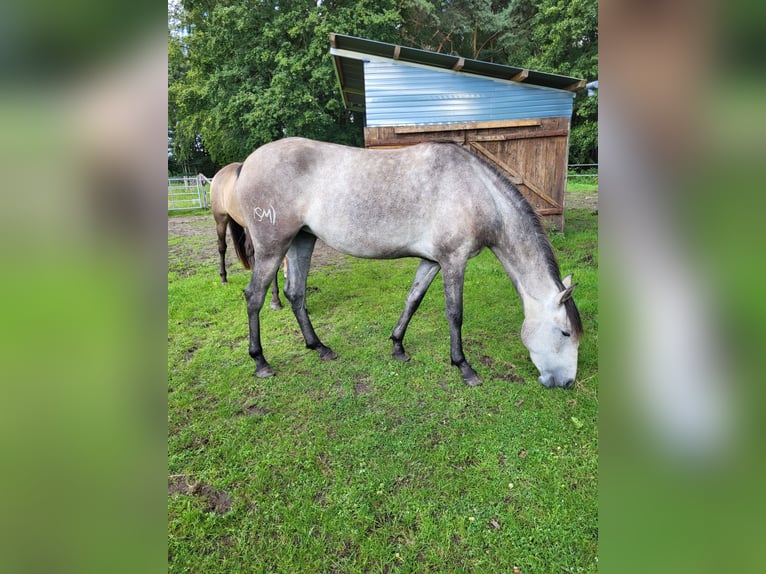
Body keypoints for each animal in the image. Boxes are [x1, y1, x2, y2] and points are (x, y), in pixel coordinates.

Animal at [234, 138, 584, 390]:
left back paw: (319, 347)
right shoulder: (453, 260)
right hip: (273, 246)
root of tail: (247, 162)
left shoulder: (431, 261)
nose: (566, 383)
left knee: (296, 293)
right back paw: (261, 362)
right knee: (254, 297)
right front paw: (464, 366)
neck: (476, 190)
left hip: (301, 241)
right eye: (565, 333)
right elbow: (455, 314)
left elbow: (412, 300)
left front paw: (398, 346)